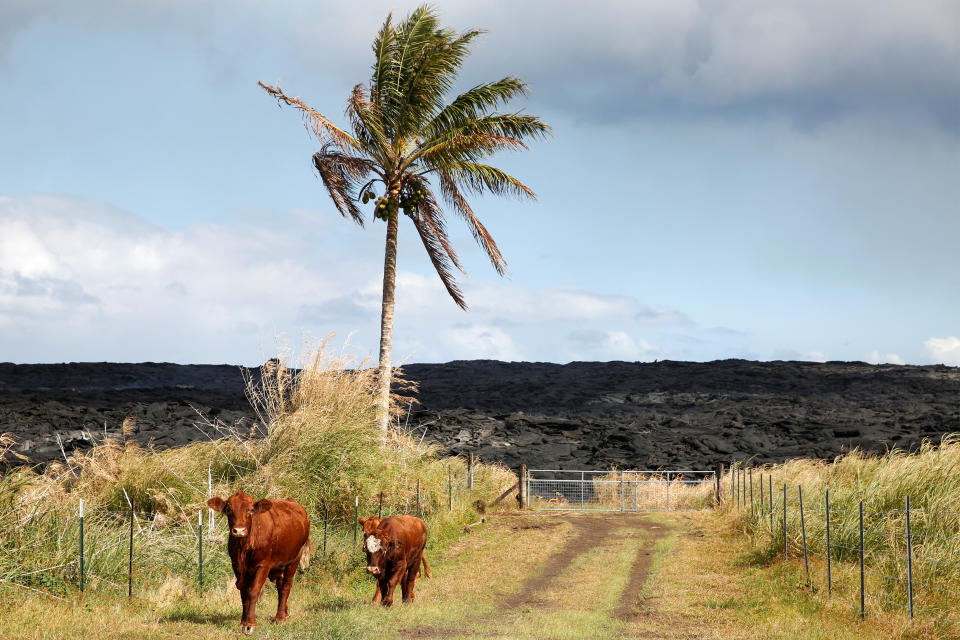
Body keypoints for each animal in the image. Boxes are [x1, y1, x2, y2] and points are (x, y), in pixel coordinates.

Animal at [208, 490, 314, 636]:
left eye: (251, 510)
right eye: (229, 509)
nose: (239, 530)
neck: (244, 547)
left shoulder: (263, 565)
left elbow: (253, 591)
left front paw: (250, 624)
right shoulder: (236, 566)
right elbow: (244, 592)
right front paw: (243, 620)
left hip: (294, 559)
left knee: (286, 586)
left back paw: (279, 617)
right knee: (280, 586)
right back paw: (284, 613)